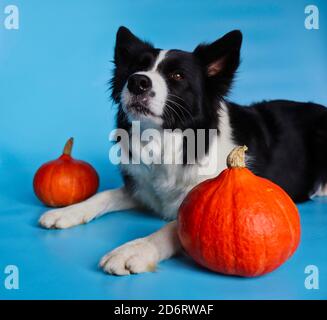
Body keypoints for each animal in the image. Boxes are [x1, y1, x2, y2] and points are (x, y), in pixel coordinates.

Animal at [39, 26, 327, 276]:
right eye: (137, 68)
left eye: (177, 76)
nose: (137, 82)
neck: (166, 141)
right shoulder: (142, 189)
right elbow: (104, 195)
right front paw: (67, 211)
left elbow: (173, 228)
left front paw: (134, 250)